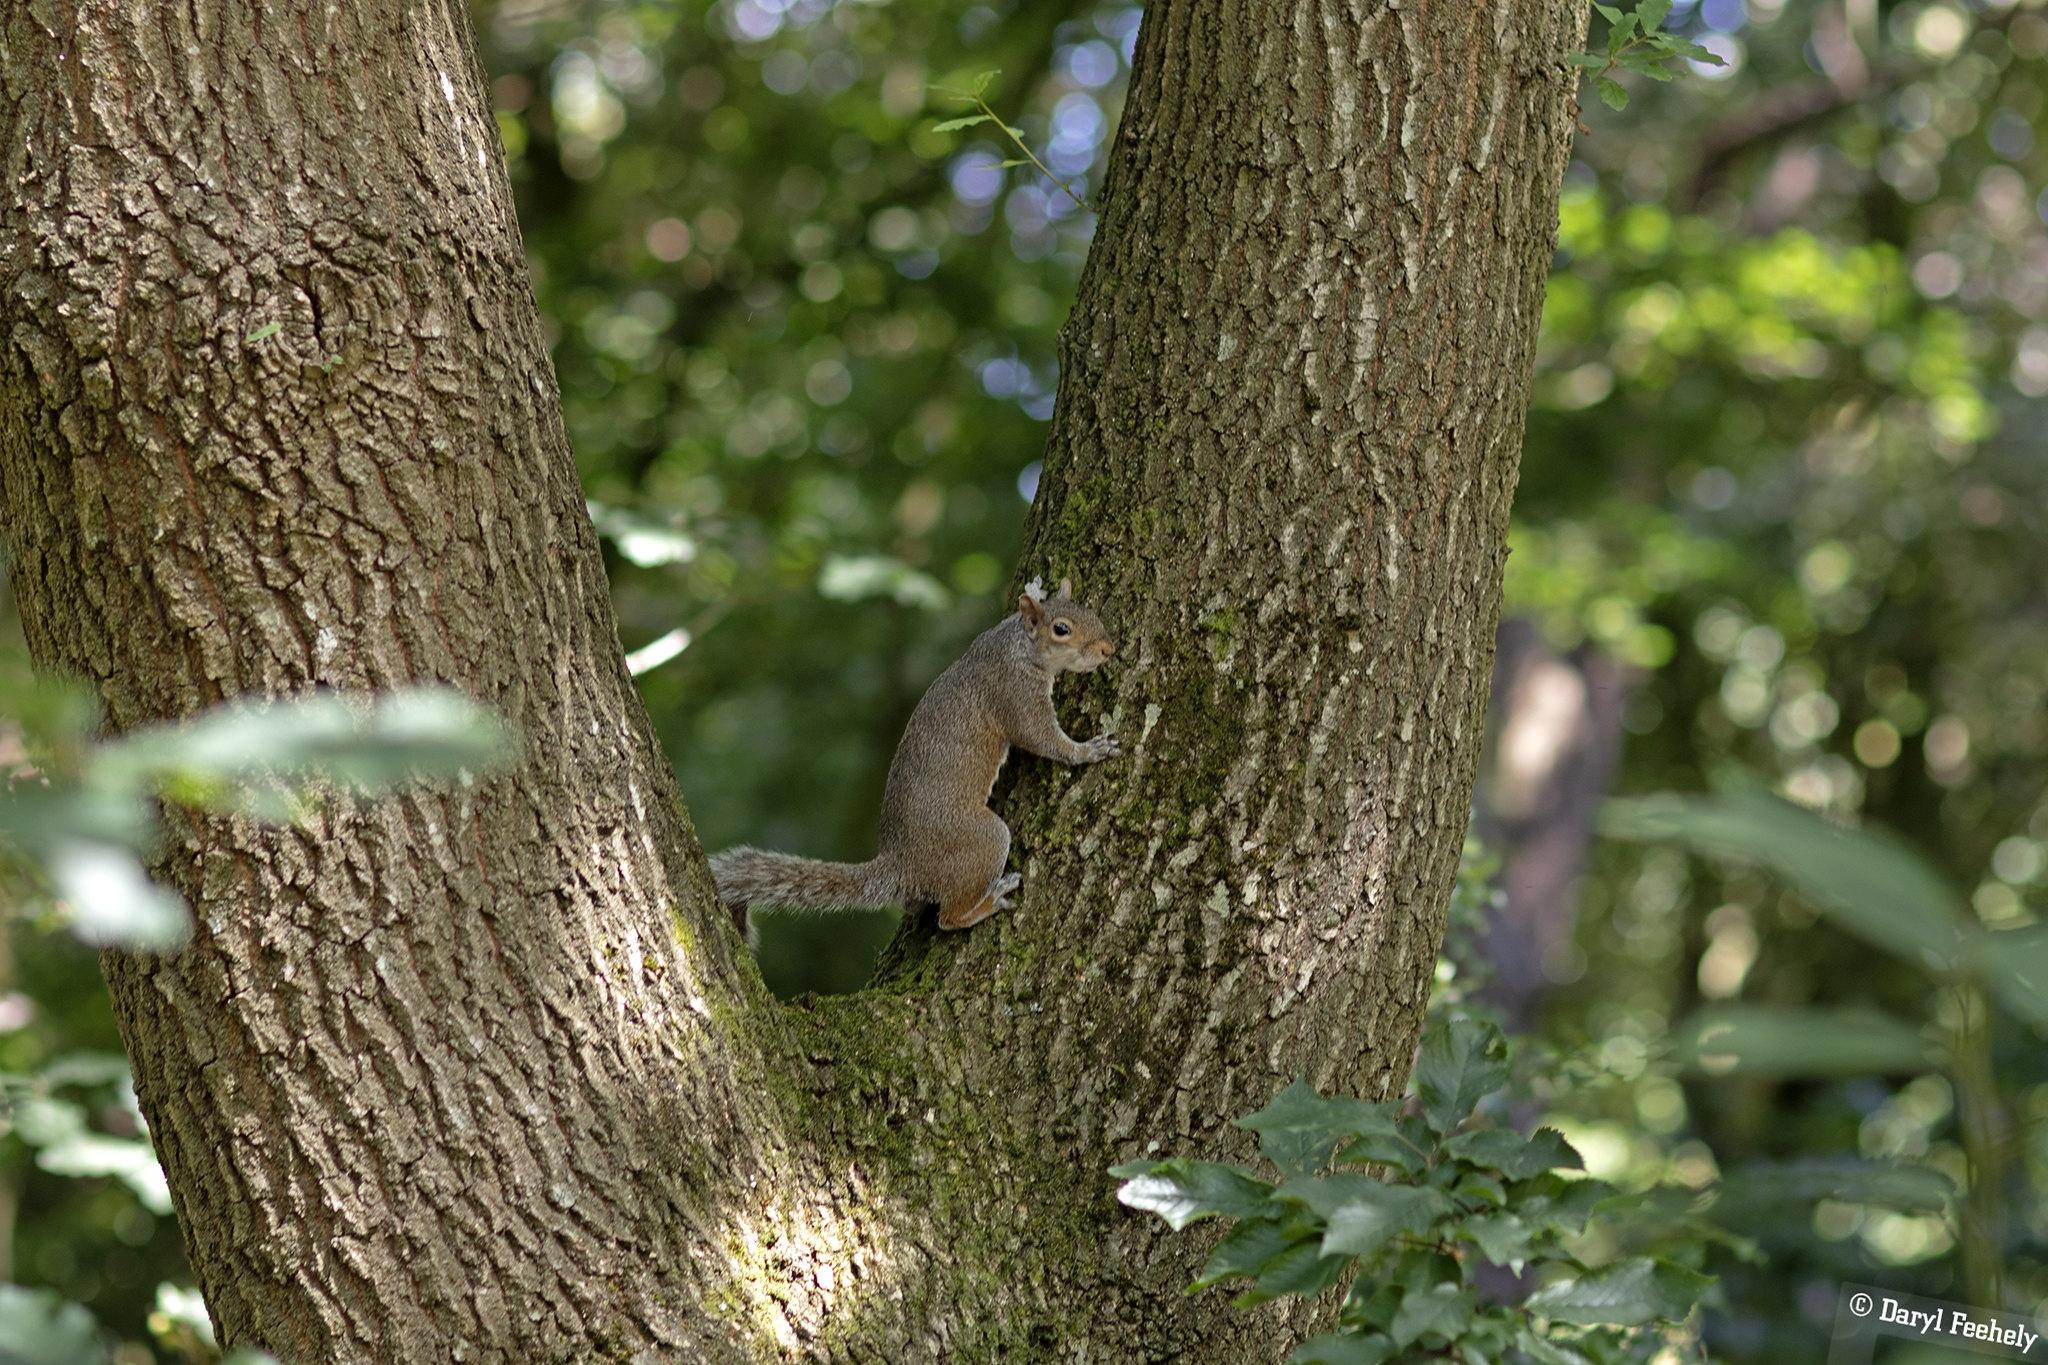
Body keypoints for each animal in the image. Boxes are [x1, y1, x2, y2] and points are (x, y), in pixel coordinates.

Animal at [710, 577, 1120, 932]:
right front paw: (1089, 750)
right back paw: (990, 901)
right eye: (1062, 629)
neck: (1017, 645)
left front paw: (1035, 588)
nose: (1108, 649)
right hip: (981, 840)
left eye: (1089, 610)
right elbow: (1043, 739)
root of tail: (902, 867)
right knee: (948, 917)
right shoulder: (1014, 694)